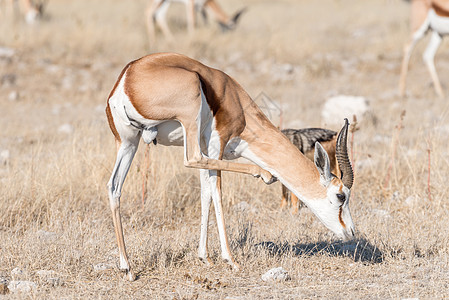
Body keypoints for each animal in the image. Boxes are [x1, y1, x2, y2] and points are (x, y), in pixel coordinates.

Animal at [105, 52, 354, 280]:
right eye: (341, 196)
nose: (351, 232)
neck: (236, 102)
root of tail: (127, 78)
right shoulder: (216, 144)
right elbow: (216, 193)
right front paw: (230, 260)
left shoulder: (207, 149)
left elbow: (205, 193)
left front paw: (204, 257)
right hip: (186, 122)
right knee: (191, 159)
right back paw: (263, 173)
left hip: (128, 142)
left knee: (114, 186)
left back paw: (127, 268)